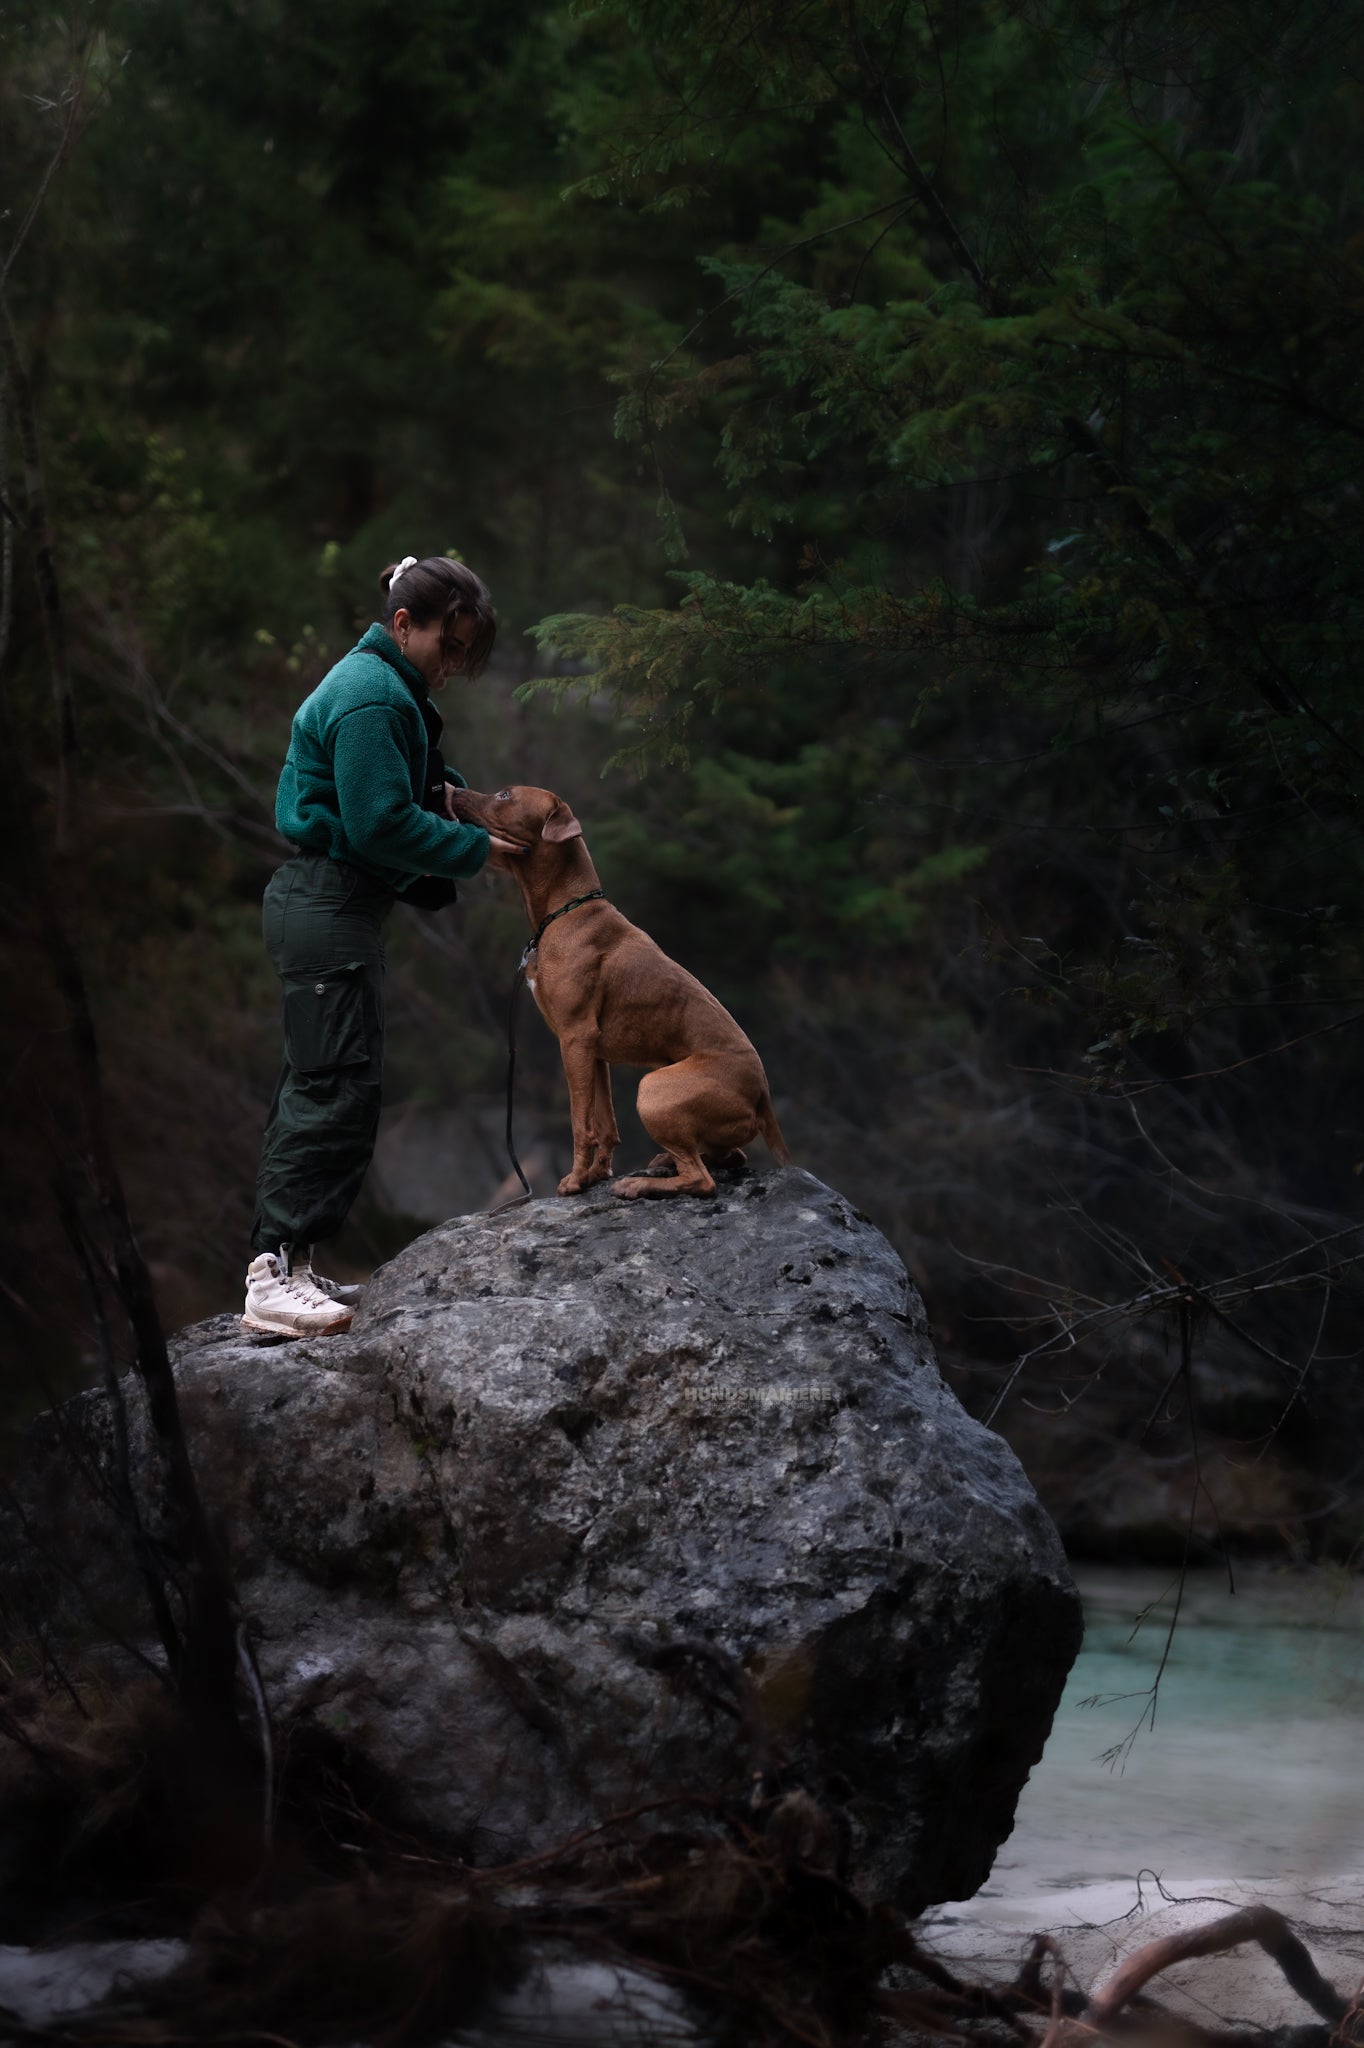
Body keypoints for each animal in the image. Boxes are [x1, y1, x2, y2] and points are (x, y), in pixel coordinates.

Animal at [448, 782, 786, 1196]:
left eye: (505, 795)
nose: (454, 790)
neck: (566, 911)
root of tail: (763, 1098)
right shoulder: (592, 1051)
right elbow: (605, 1123)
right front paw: (597, 1173)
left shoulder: (575, 1038)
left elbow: (580, 1121)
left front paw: (576, 1179)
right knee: (729, 1157)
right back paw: (662, 1162)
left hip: (654, 1089)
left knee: (702, 1180)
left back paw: (639, 1184)